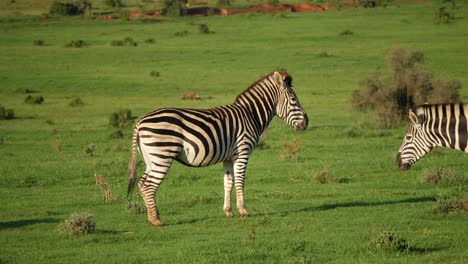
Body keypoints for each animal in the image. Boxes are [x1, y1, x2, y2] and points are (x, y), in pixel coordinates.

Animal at [127, 70, 308, 227]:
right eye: (293, 99)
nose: (306, 123)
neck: (250, 115)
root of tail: (140, 121)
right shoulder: (242, 152)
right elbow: (240, 181)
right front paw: (243, 211)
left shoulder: (228, 157)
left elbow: (228, 183)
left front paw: (228, 211)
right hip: (162, 155)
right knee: (149, 186)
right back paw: (156, 221)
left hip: (151, 159)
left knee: (141, 184)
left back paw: (153, 216)